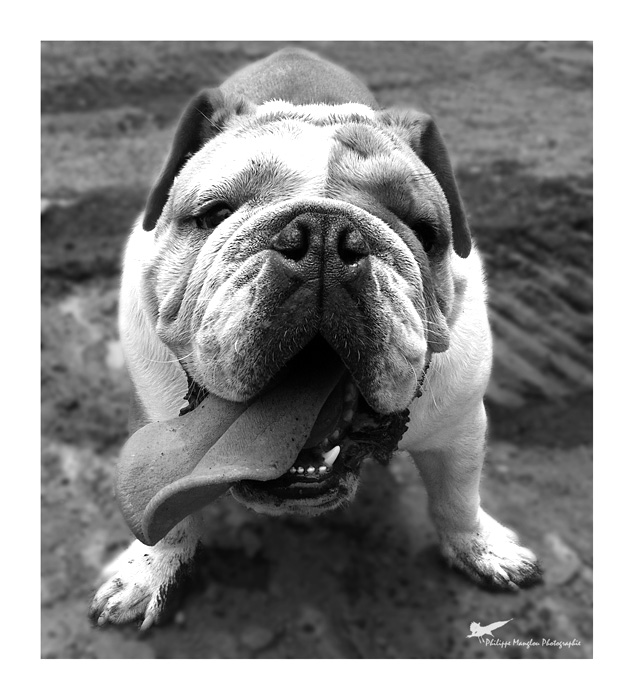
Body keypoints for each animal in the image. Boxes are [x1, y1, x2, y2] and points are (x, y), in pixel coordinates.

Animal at [90, 48, 541, 631]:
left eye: (425, 231)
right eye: (215, 215)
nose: (325, 235)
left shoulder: (461, 426)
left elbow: (457, 497)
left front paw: (482, 549)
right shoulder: (153, 419)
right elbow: (166, 517)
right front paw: (148, 572)